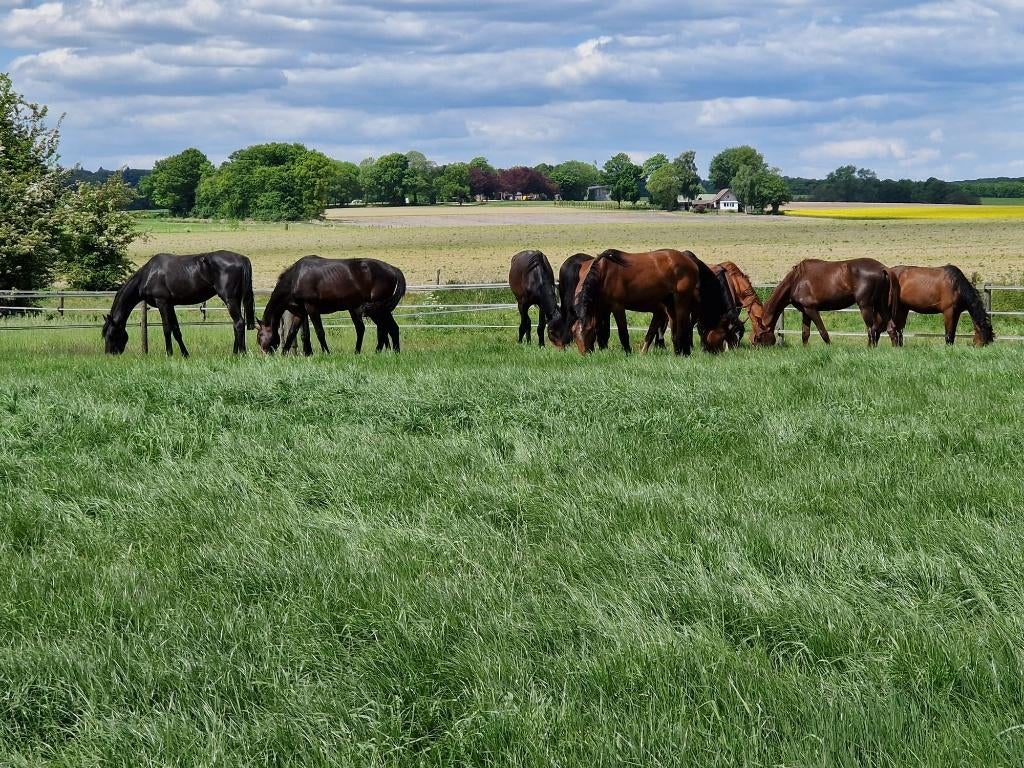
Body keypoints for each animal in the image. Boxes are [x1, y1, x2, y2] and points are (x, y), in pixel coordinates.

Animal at [102, 250, 254, 356]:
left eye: (110, 334)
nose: (109, 354)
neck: (148, 274)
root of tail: (243, 259)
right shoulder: (170, 305)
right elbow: (176, 330)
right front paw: (185, 354)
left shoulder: (162, 303)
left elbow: (166, 329)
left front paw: (169, 354)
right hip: (235, 299)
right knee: (236, 324)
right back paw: (235, 352)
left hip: (230, 299)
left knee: (239, 323)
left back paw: (241, 353)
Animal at [256, 256, 406, 354]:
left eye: (260, 336)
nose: (264, 355)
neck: (295, 278)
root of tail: (393, 269)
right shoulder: (300, 313)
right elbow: (293, 334)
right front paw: (285, 354)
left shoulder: (312, 308)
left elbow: (319, 332)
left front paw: (326, 352)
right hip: (377, 309)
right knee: (389, 328)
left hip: (377, 309)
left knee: (385, 329)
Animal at [573, 248, 738, 355]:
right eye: (575, 335)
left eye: (586, 333)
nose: (585, 354)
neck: (603, 273)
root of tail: (690, 261)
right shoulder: (600, 308)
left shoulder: (617, 307)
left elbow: (623, 332)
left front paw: (628, 352)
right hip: (670, 303)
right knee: (677, 327)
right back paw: (679, 351)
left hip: (681, 300)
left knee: (683, 326)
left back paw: (684, 351)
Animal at [753, 258, 891, 347]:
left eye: (759, 335)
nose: (755, 346)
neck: (796, 281)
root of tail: (882, 269)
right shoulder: (805, 312)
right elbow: (805, 333)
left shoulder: (811, 309)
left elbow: (822, 332)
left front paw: (830, 347)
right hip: (880, 305)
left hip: (865, 306)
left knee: (871, 329)